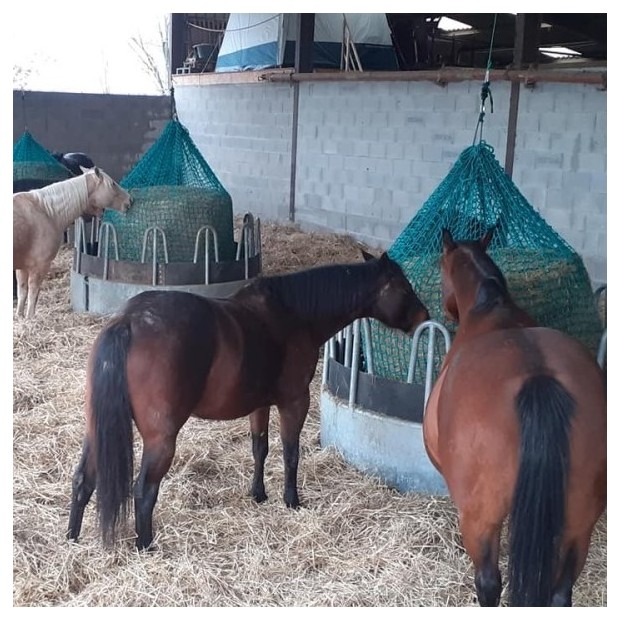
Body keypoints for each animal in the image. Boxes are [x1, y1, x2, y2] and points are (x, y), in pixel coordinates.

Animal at [12, 167, 131, 318]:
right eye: (113, 184)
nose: (129, 200)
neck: (47, 212)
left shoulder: (23, 266)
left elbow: (22, 292)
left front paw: (20, 316)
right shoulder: (39, 266)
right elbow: (33, 293)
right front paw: (30, 317)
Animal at [65, 249, 428, 548]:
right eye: (404, 287)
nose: (424, 318)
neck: (295, 315)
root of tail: (128, 321)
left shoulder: (260, 404)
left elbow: (260, 448)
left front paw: (258, 494)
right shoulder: (294, 402)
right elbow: (290, 453)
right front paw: (291, 500)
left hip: (99, 429)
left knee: (83, 479)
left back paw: (72, 537)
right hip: (161, 440)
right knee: (143, 490)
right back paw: (145, 545)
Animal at [424, 229, 608, 604]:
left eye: (440, 267)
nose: (448, 311)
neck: (490, 307)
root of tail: (537, 378)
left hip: (482, 521)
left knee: (489, 582)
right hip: (579, 523)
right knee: (561, 592)